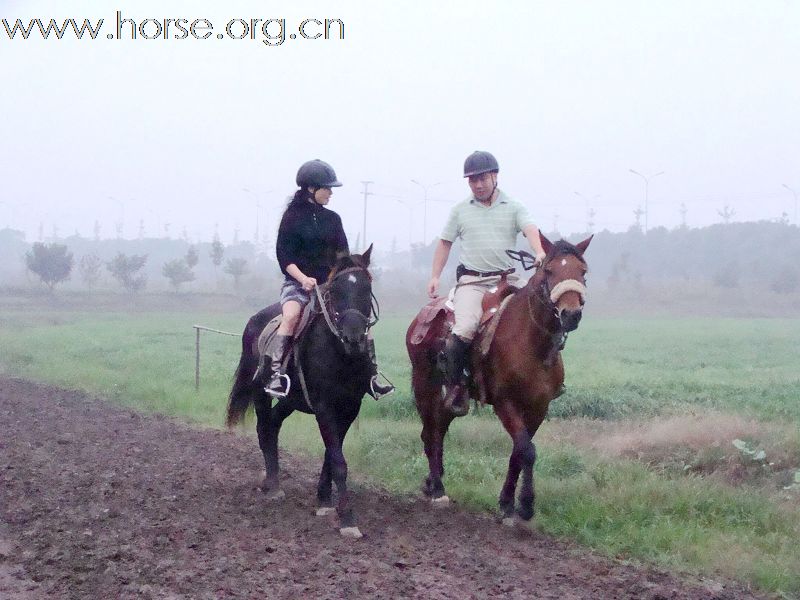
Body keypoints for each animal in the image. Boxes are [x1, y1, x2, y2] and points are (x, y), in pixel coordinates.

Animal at [225, 246, 376, 536]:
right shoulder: (325, 408)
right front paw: (348, 519)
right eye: (335, 291)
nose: (353, 337)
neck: (340, 354)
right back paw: (273, 485)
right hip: (261, 392)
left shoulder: (350, 408)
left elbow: (331, 454)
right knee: (264, 427)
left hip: (292, 400)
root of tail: (254, 321)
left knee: (273, 425)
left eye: (367, 287)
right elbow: (338, 461)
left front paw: (325, 501)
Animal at [410, 232, 592, 524]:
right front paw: (526, 505)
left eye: (582, 271)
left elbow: (519, 452)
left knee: (438, 431)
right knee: (429, 434)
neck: (531, 343)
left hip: (450, 400)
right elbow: (527, 450)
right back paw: (437, 488)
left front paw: (507, 502)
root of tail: (420, 319)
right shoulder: (505, 403)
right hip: (424, 387)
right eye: (549, 270)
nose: (571, 314)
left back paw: (431, 482)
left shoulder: (538, 407)